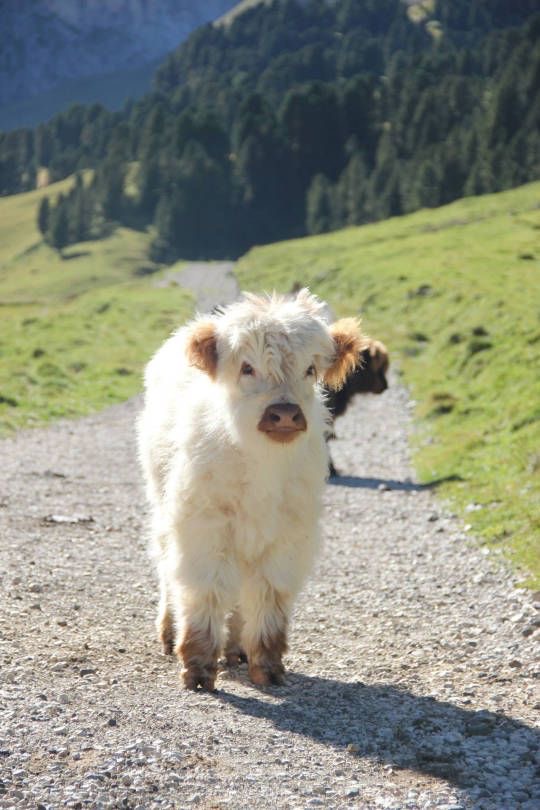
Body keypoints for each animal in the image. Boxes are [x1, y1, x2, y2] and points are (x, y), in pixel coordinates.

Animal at [137, 289, 366, 690]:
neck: (262, 471)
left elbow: (268, 598)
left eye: (310, 369)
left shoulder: (287, 539)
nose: (285, 413)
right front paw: (197, 668)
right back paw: (169, 631)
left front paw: (267, 666)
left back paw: (235, 648)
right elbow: (205, 592)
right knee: (168, 571)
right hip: (162, 508)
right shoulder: (204, 531)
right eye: (247, 367)